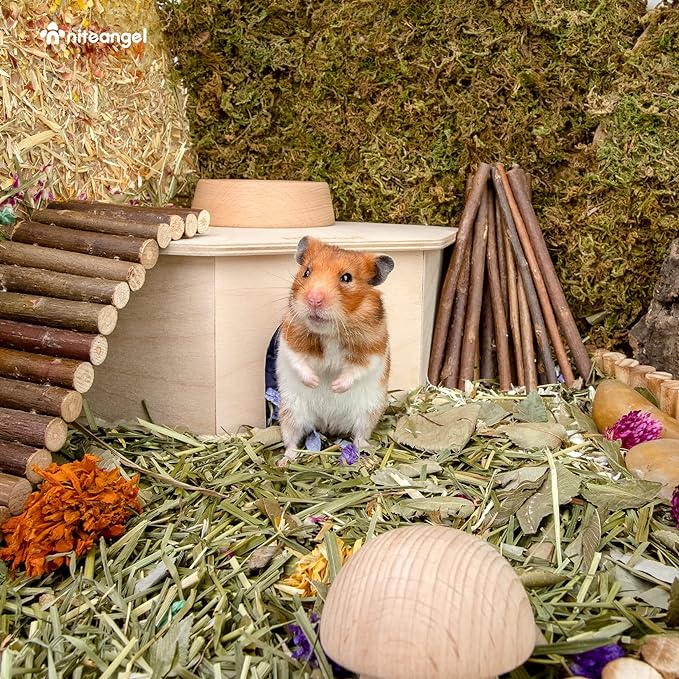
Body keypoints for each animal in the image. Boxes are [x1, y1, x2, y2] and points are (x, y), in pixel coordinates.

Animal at [276, 236, 394, 466]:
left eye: (346, 278)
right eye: (307, 272)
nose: (314, 299)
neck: (330, 332)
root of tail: (328, 423)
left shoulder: (374, 348)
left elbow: (357, 369)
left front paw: (334, 387)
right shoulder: (289, 339)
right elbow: (298, 361)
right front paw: (315, 382)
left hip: (368, 412)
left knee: (359, 435)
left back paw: (365, 455)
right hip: (291, 411)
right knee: (292, 439)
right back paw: (285, 461)